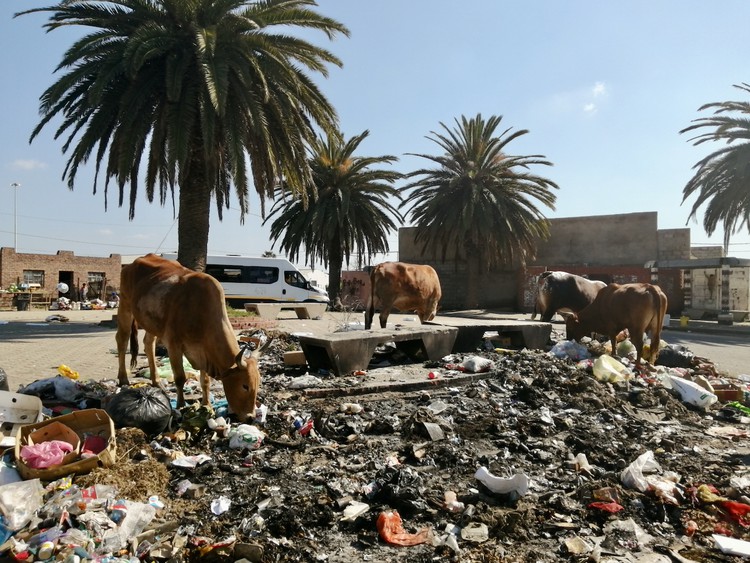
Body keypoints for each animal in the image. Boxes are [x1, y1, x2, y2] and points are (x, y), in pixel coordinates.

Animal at [116, 256, 268, 424]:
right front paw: (181, 405)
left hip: (152, 323)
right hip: (125, 305)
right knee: (122, 340)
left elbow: (205, 381)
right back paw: (123, 378)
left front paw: (207, 404)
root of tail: (132, 263)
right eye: (245, 386)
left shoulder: (204, 352)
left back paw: (156, 381)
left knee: (148, 344)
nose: (250, 417)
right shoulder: (173, 345)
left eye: (258, 383)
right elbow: (180, 378)